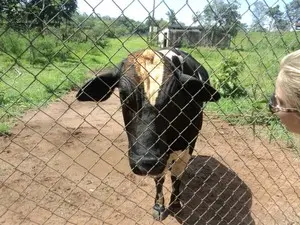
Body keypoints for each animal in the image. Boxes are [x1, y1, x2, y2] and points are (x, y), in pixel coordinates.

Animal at [75, 48, 220, 220]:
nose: (146, 162)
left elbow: (176, 176)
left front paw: (175, 203)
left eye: (173, 97)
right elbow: (160, 179)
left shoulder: (187, 146)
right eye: (123, 95)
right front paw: (158, 206)